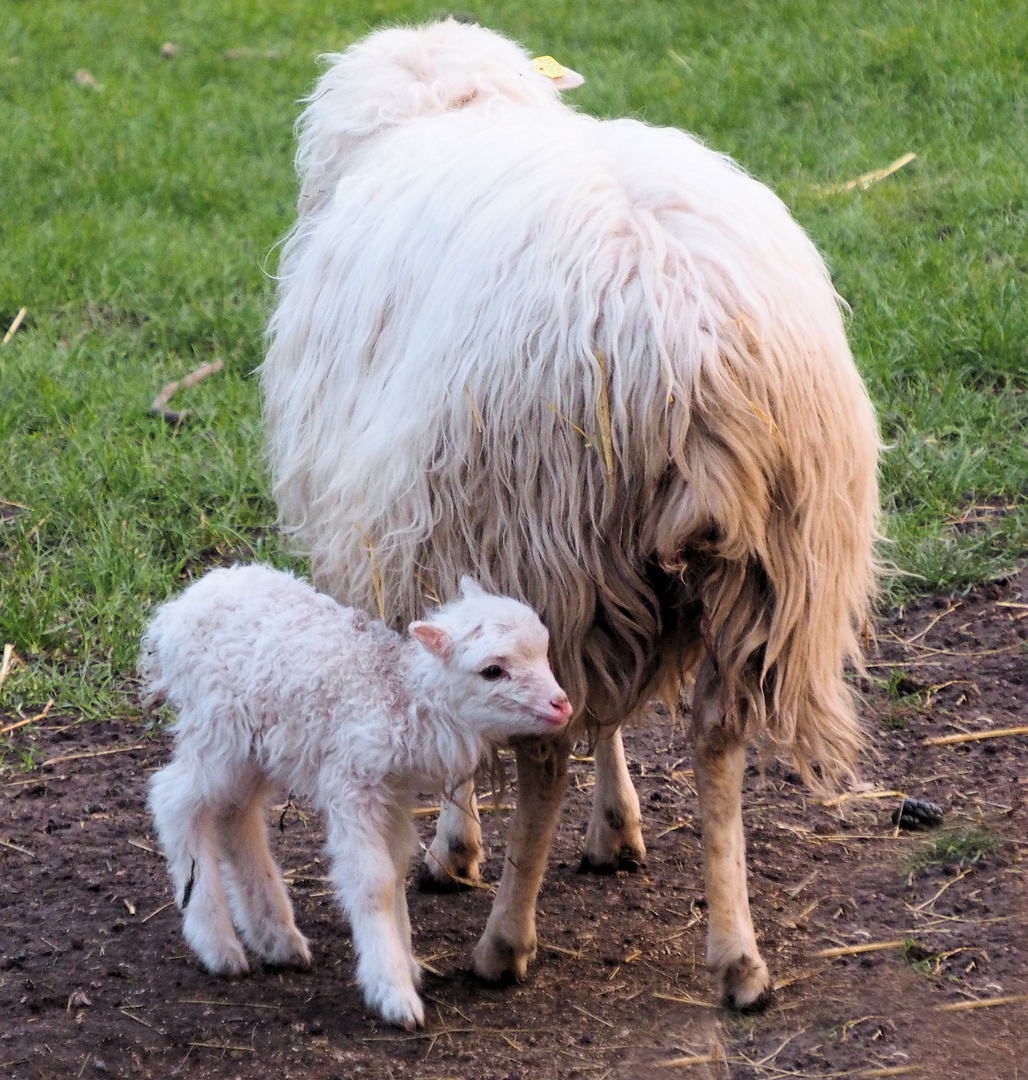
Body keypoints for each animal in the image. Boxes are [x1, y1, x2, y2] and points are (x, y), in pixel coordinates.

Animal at [138, 565, 570, 1028]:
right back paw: (218, 945)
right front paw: (393, 991)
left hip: (258, 747)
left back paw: (277, 938)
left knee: (236, 814)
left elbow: (395, 869)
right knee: (174, 799)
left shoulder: (393, 793)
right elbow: (373, 881)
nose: (562, 705)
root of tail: (174, 612)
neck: (401, 694)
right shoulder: (353, 784)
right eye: (492, 671)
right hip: (219, 730)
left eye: (544, 652)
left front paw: (406, 963)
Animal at [261, 19, 881, 1010]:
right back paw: (737, 957)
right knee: (714, 740)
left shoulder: (432, 541)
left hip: (535, 532)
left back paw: (505, 941)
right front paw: (618, 828)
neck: (457, 107)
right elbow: (602, 714)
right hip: (757, 568)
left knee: (544, 756)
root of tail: (682, 339)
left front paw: (457, 850)